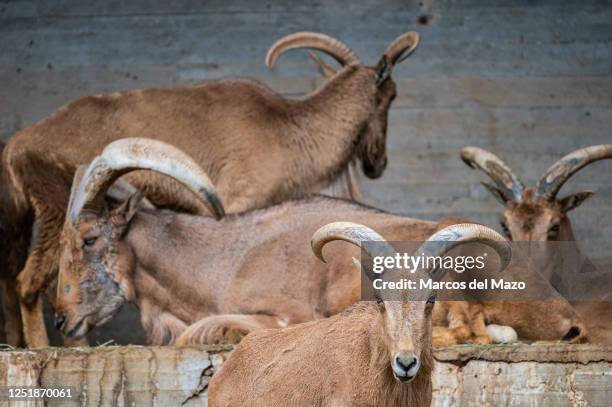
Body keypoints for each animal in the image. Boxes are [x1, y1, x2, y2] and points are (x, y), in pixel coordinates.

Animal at [1, 31, 420, 348]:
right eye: (390, 96)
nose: (378, 163)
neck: (290, 128)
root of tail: (16, 146)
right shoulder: (238, 200)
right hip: (54, 206)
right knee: (27, 282)